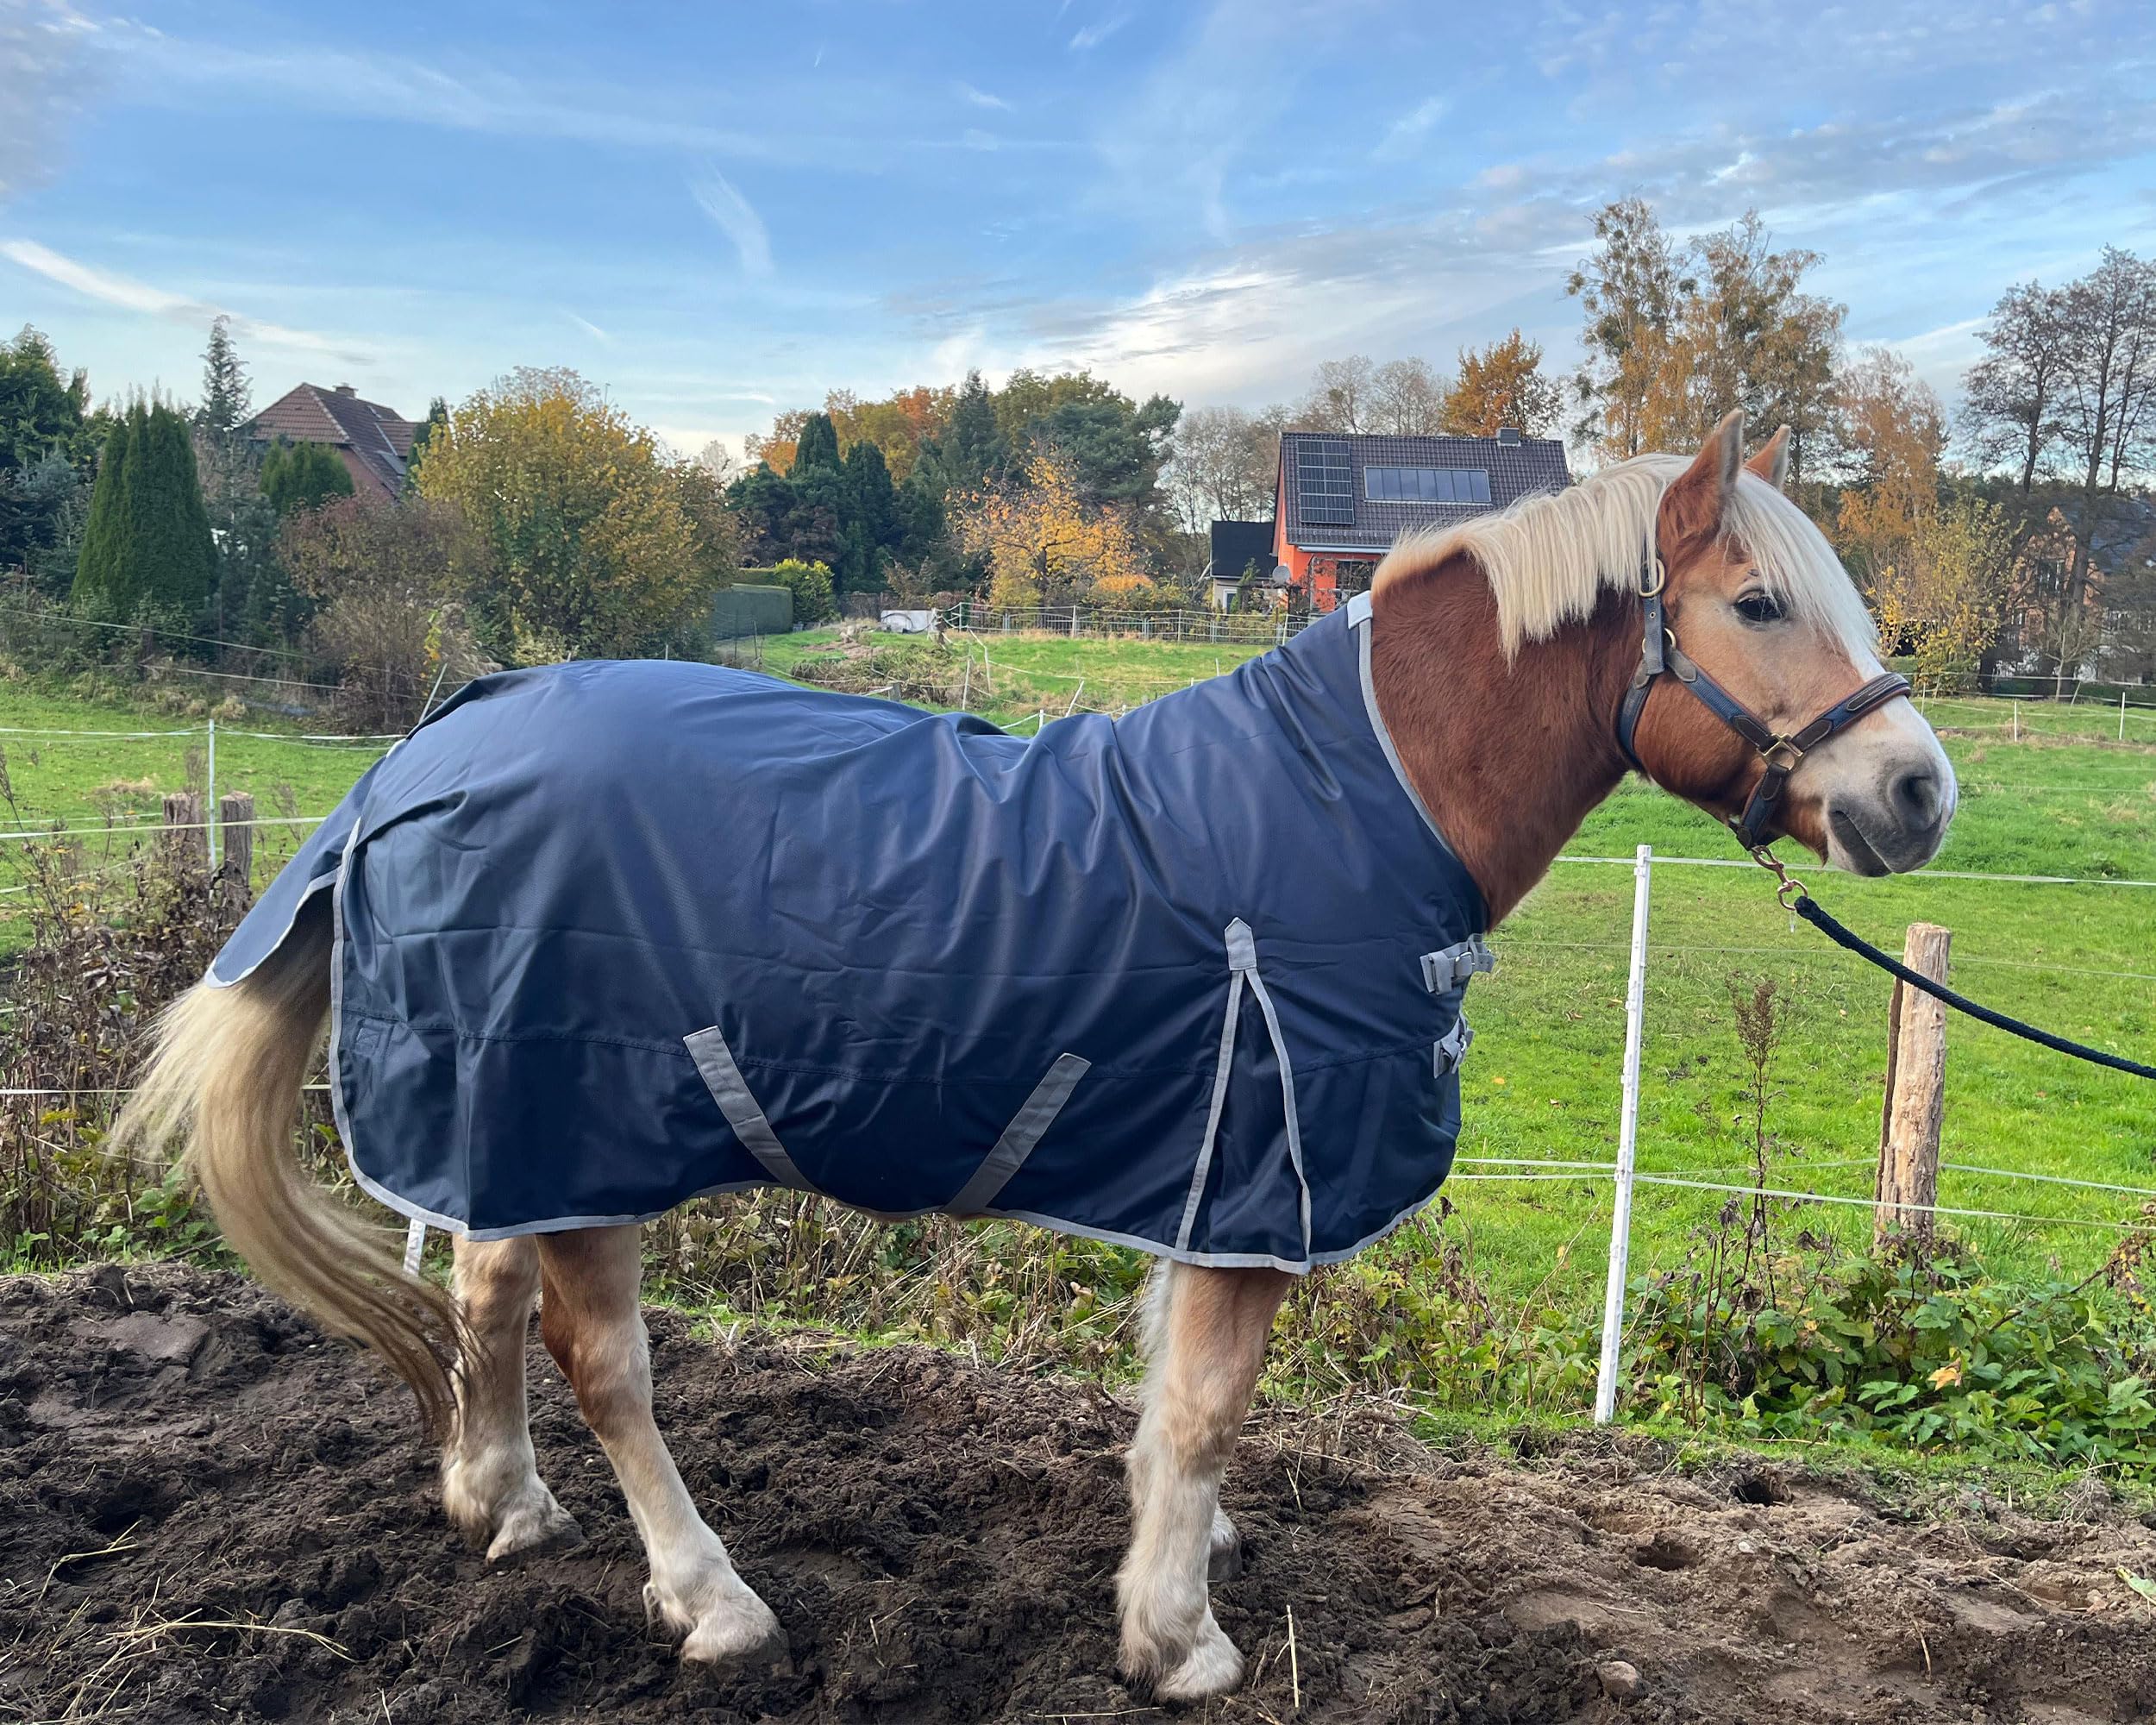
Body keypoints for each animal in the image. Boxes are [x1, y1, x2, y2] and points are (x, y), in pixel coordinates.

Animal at [116, 413, 1955, 1702]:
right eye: (1758, 600)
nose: (1919, 792)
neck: (1363, 792)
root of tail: (430, 741)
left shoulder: (1200, 1176)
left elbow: (1164, 1408)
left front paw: (1177, 1562)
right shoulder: (1252, 1184)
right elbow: (1204, 1408)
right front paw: (1177, 1639)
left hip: (512, 1121)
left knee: (485, 1300)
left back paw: (500, 1507)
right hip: (586, 1129)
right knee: (602, 1363)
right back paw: (711, 1599)